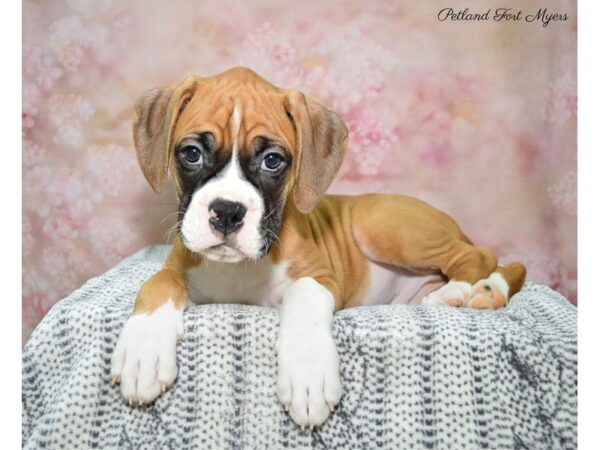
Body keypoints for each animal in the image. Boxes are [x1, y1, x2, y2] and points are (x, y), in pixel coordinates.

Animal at [111, 67, 524, 428]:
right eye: (192, 153)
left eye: (273, 161)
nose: (227, 212)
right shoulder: (177, 268)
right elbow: (158, 284)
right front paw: (143, 350)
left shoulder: (320, 278)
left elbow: (304, 301)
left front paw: (307, 372)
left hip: (383, 227)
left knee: (481, 255)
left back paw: (471, 290)